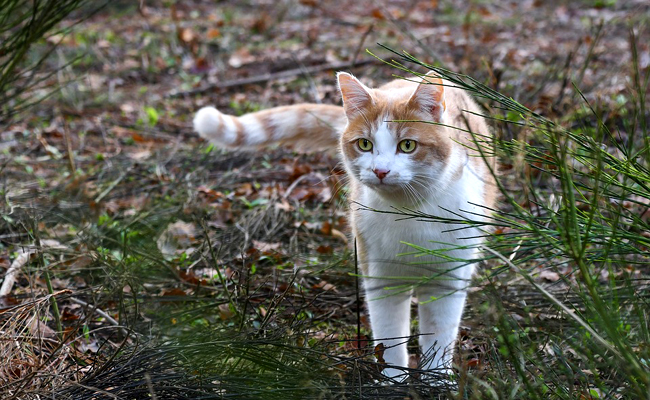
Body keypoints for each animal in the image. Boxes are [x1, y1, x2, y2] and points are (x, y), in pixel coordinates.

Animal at [192, 72, 496, 382]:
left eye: (407, 146)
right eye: (365, 144)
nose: (380, 171)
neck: (407, 213)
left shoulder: (448, 280)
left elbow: (438, 338)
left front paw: (436, 382)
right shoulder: (382, 277)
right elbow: (389, 337)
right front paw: (393, 380)